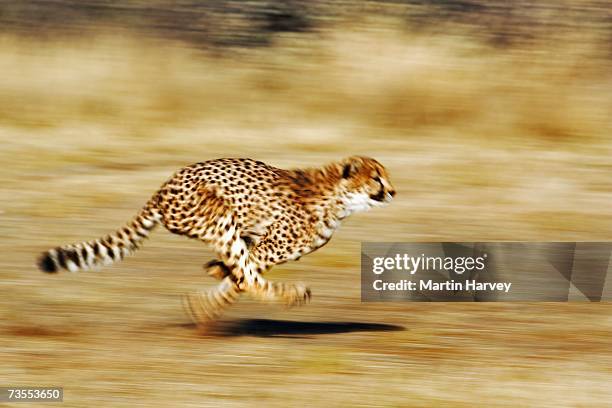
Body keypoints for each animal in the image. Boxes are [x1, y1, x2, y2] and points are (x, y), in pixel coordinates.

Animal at [37, 155, 396, 326]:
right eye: (376, 179)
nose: (393, 191)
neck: (338, 199)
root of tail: (163, 187)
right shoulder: (267, 247)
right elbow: (243, 277)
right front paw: (206, 301)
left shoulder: (259, 243)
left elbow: (237, 273)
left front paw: (214, 274)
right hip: (217, 214)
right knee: (246, 274)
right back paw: (291, 294)